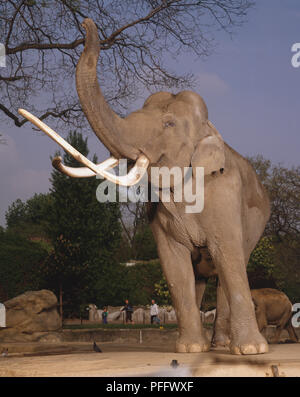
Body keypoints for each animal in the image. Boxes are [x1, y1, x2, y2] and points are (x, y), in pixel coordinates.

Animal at [18, 18, 272, 354]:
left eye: (168, 124)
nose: (85, 22)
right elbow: (174, 265)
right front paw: (189, 350)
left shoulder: (224, 193)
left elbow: (228, 256)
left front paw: (252, 351)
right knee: (199, 277)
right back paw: (208, 345)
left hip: (257, 225)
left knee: (228, 268)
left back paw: (222, 345)